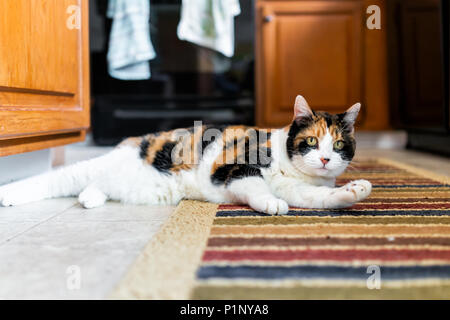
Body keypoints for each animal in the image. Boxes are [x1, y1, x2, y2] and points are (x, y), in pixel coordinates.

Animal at [0, 95, 370, 215]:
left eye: (339, 145)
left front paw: (353, 190)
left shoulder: (301, 189)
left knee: (93, 187)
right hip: (97, 165)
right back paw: (8, 194)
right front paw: (271, 203)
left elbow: (318, 197)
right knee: (56, 178)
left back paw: (90, 198)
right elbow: (255, 187)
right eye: (311, 141)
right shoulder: (233, 168)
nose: (325, 159)